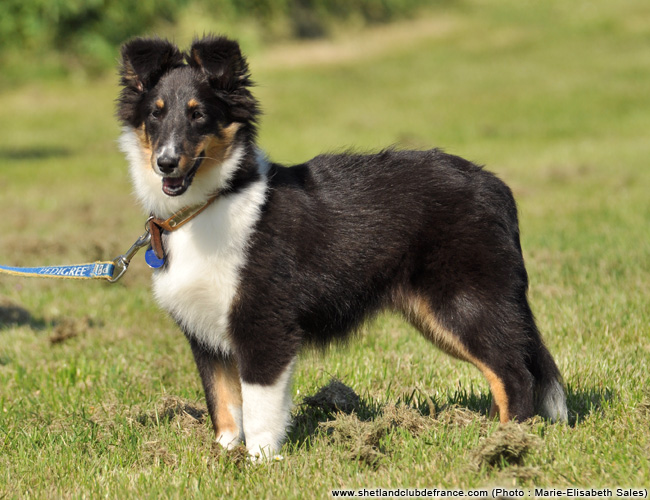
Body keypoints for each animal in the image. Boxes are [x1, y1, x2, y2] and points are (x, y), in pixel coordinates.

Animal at [116, 34, 568, 458]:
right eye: (155, 113)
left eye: (199, 115)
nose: (165, 163)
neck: (210, 203)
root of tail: (496, 188)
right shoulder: (206, 335)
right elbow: (224, 406)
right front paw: (224, 457)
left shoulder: (263, 325)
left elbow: (259, 407)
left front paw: (260, 463)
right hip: (438, 312)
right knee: (502, 372)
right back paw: (484, 434)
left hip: (466, 302)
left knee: (516, 374)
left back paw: (505, 445)